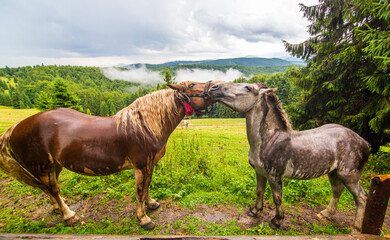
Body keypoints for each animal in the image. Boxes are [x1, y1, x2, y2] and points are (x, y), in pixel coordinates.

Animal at [0, 81, 213, 231]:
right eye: (192, 85)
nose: (214, 87)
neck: (144, 125)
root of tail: (14, 128)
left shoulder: (149, 165)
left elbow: (147, 187)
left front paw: (151, 204)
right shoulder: (140, 166)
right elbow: (139, 191)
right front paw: (143, 219)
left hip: (54, 166)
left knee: (50, 189)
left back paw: (58, 208)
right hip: (42, 166)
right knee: (53, 189)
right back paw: (69, 215)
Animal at [209, 82, 370, 231]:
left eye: (248, 88)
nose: (213, 87)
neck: (270, 140)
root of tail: (364, 142)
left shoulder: (274, 176)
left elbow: (277, 198)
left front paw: (277, 221)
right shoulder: (259, 172)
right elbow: (259, 191)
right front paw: (255, 211)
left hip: (349, 176)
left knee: (361, 197)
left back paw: (356, 228)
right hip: (334, 173)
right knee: (337, 191)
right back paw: (325, 214)